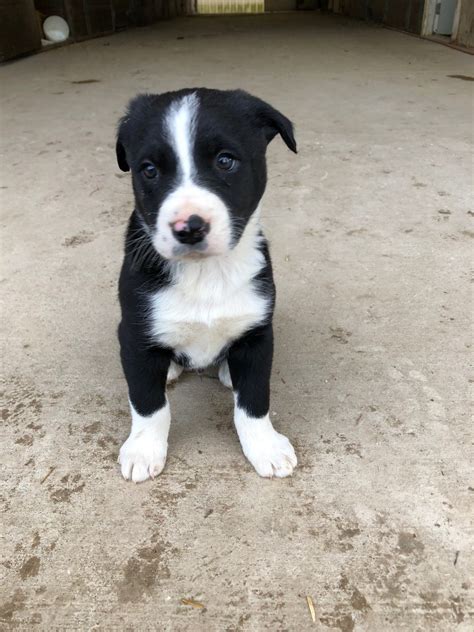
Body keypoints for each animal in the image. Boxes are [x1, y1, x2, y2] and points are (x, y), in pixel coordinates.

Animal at [115, 89, 298, 482]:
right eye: (149, 170)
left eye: (225, 161)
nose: (189, 227)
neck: (206, 273)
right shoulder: (133, 333)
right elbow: (148, 403)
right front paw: (143, 449)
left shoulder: (259, 332)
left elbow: (254, 400)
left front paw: (266, 447)